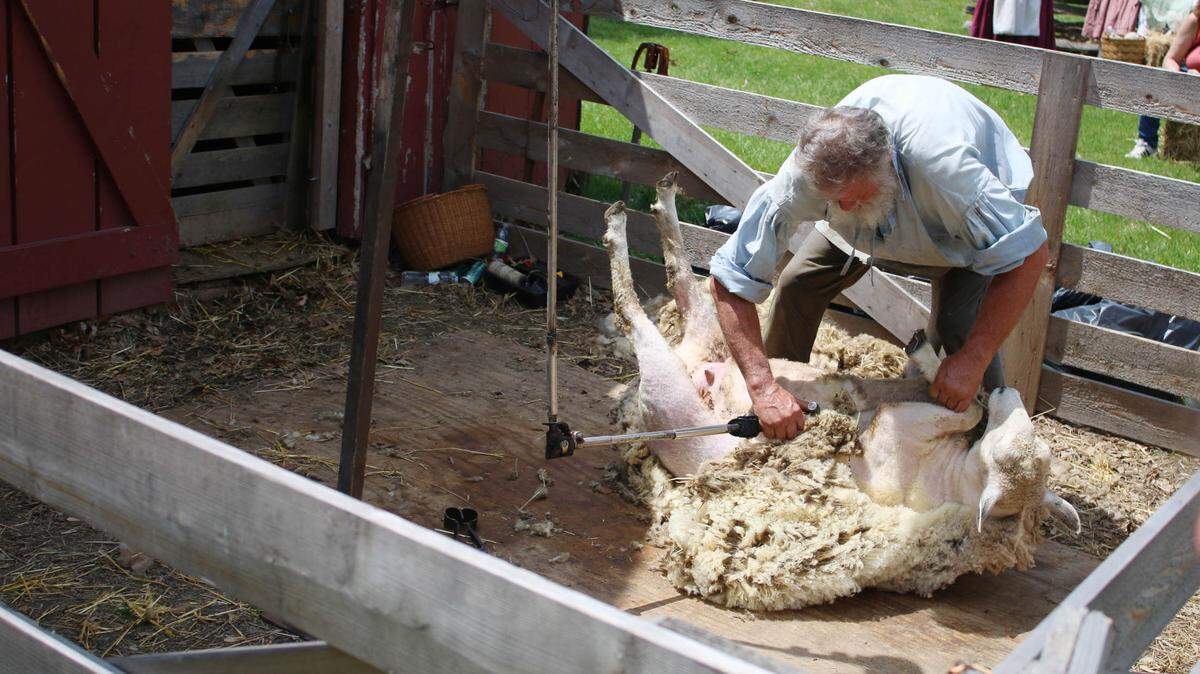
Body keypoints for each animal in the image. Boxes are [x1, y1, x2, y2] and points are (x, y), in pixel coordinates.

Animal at [599, 173, 1080, 611]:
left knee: (638, 308)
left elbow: (967, 410)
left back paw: (624, 221)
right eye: (1018, 453)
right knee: (690, 285)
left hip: (672, 392)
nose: (1008, 393)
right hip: (714, 338)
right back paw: (654, 202)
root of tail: (694, 361)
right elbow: (963, 405)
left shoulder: (908, 425)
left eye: (1006, 458)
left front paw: (934, 363)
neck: (948, 476)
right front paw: (931, 358)